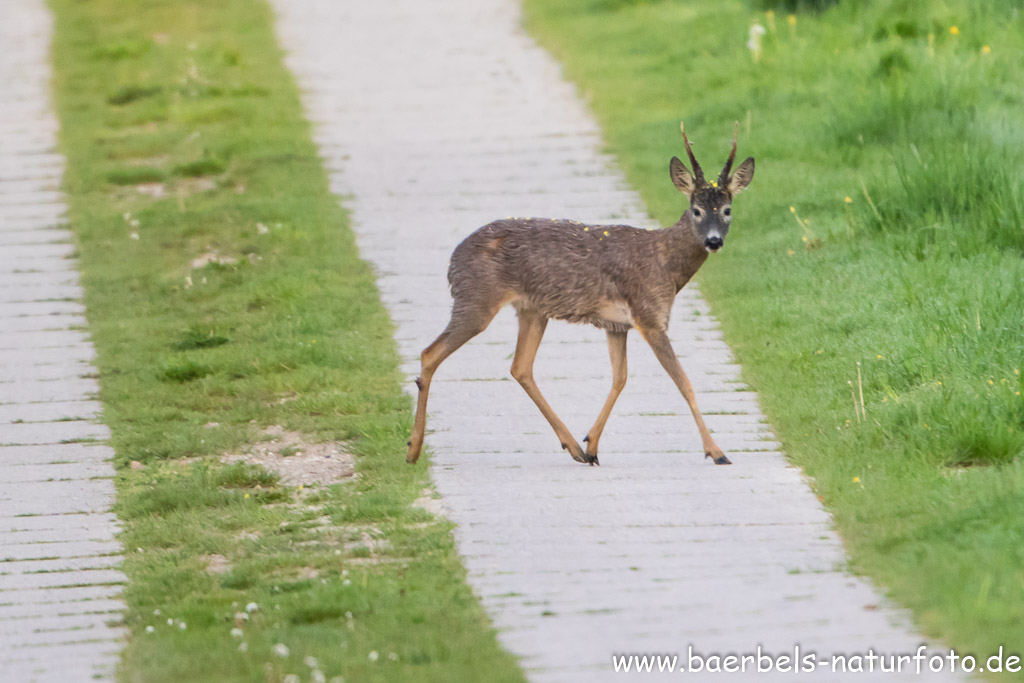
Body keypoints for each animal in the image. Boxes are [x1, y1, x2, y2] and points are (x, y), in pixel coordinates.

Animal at [405, 121, 753, 464]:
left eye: (727, 210)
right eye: (696, 210)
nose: (713, 241)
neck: (665, 263)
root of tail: (453, 259)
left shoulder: (618, 325)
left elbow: (620, 379)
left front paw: (593, 444)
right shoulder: (650, 316)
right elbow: (684, 383)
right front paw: (717, 452)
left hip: (531, 309)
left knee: (520, 367)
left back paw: (573, 447)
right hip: (477, 298)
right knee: (430, 352)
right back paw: (413, 448)